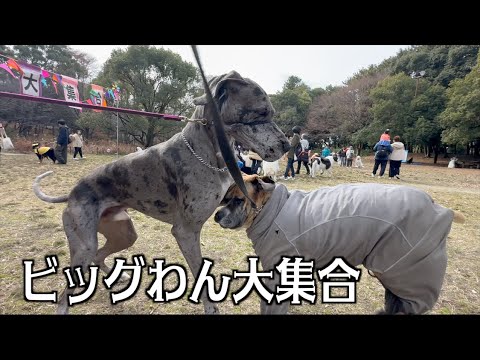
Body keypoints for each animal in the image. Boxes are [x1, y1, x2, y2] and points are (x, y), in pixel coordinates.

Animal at [33, 71, 290, 314]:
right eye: (261, 113)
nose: (287, 145)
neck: (207, 152)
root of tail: (72, 193)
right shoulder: (186, 232)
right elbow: (201, 276)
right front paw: (211, 308)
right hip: (84, 246)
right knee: (67, 290)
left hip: (124, 234)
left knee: (99, 256)